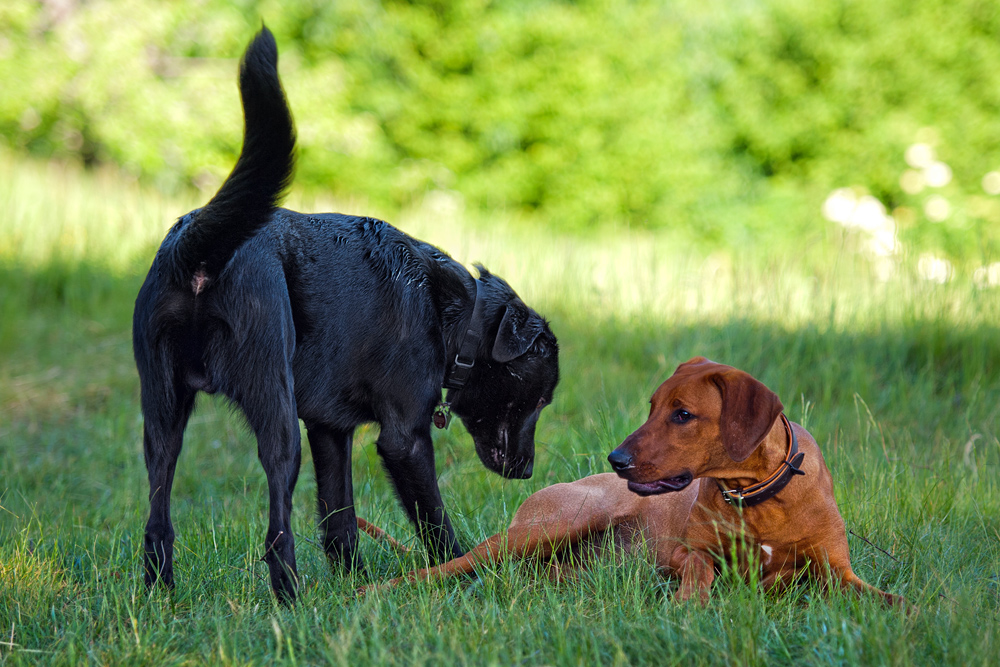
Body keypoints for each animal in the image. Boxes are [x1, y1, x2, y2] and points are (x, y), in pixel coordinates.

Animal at [134, 28, 560, 604]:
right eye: (539, 399)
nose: (527, 471)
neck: (453, 314)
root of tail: (199, 249)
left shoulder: (329, 431)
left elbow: (339, 519)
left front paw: (354, 587)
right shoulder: (403, 439)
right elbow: (434, 522)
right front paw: (464, 574)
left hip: (163, 415)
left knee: (158, 518)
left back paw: (162, 591)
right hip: (275, 409)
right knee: (277, 524)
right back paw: (289, 595)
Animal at [372, 358, 904, 608]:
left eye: (683, 414)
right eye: (652, 407)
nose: (617, 459)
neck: (756, 495)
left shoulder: (838, 574)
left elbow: (891, 600)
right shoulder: (687, 554)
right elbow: (699, 574)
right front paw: (690, 603)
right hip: (552, 524)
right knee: (447, 566)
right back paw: (374, 591)